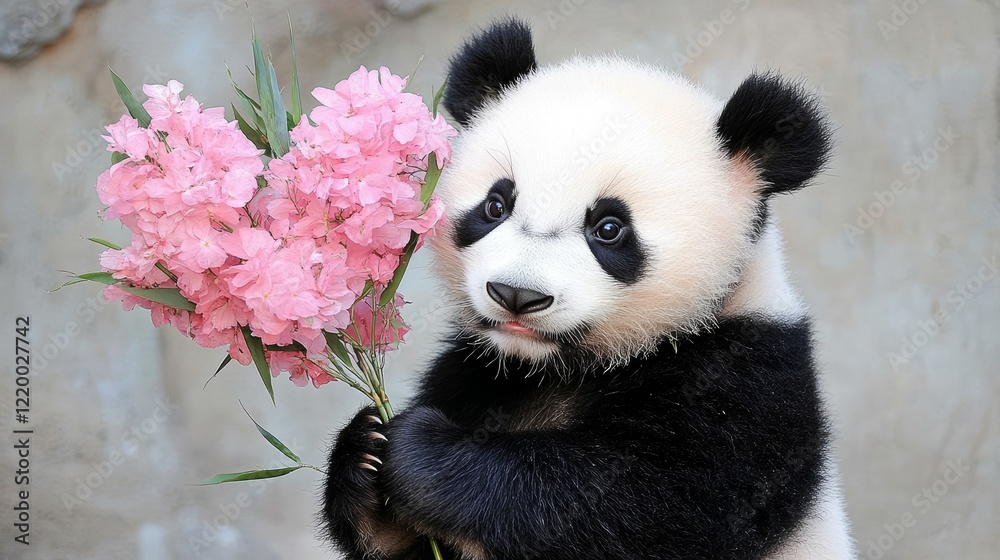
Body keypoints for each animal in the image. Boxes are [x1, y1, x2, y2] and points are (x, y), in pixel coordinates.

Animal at [322, 18, 854, 560]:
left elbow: (639, 504)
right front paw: (366, 450)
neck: (565, 369)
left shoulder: (744, 386)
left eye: (609, 228)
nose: (517, 295)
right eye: (496, 205)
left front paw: (424, 454)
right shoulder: (473, 373)